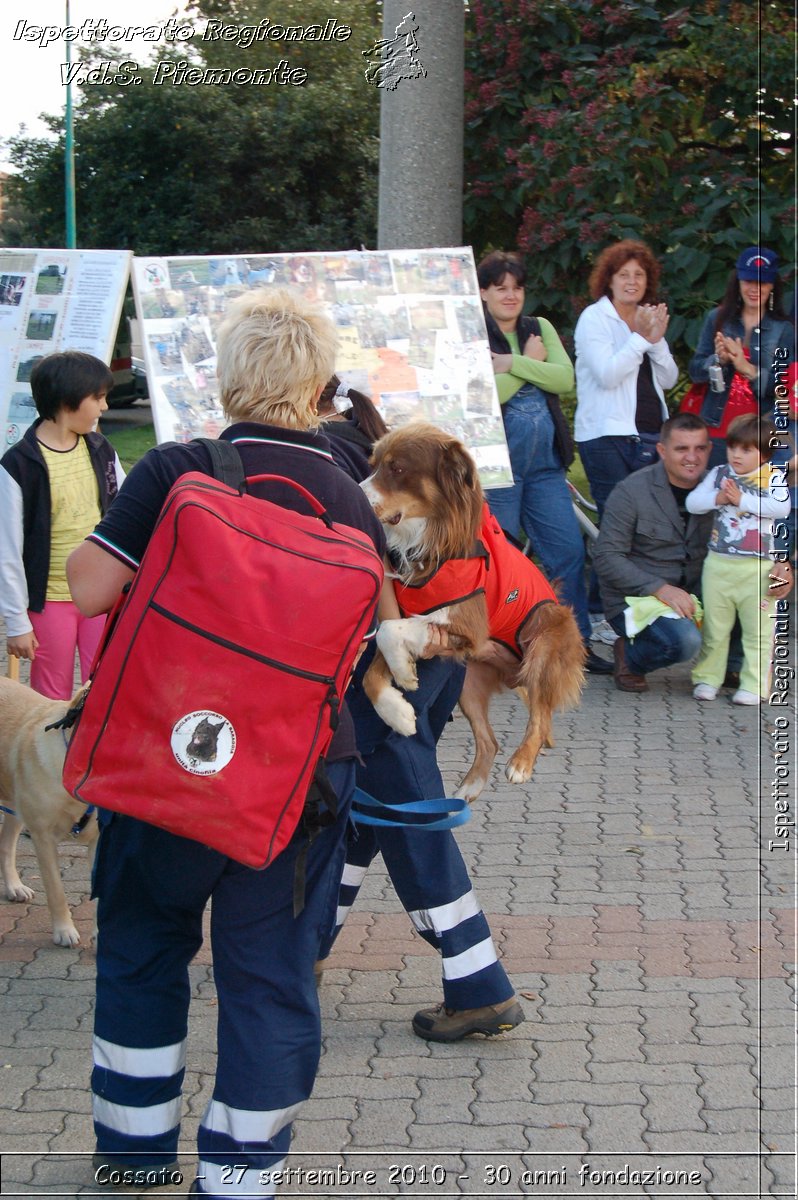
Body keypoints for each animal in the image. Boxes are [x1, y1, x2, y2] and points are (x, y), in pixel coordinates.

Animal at [360, 420, 585, 796]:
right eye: (373, 464)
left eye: (398, 468)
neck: (430, 539)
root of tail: (513, 673)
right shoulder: (422, 621)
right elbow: (373, 668)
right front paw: (399, 708)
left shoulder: (466, 620)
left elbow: (388, 633)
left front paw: (403, 678)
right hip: (468, 683)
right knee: (489, 740)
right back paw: (467, 791)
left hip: (543, 641)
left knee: (540, 717)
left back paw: (521, 764)